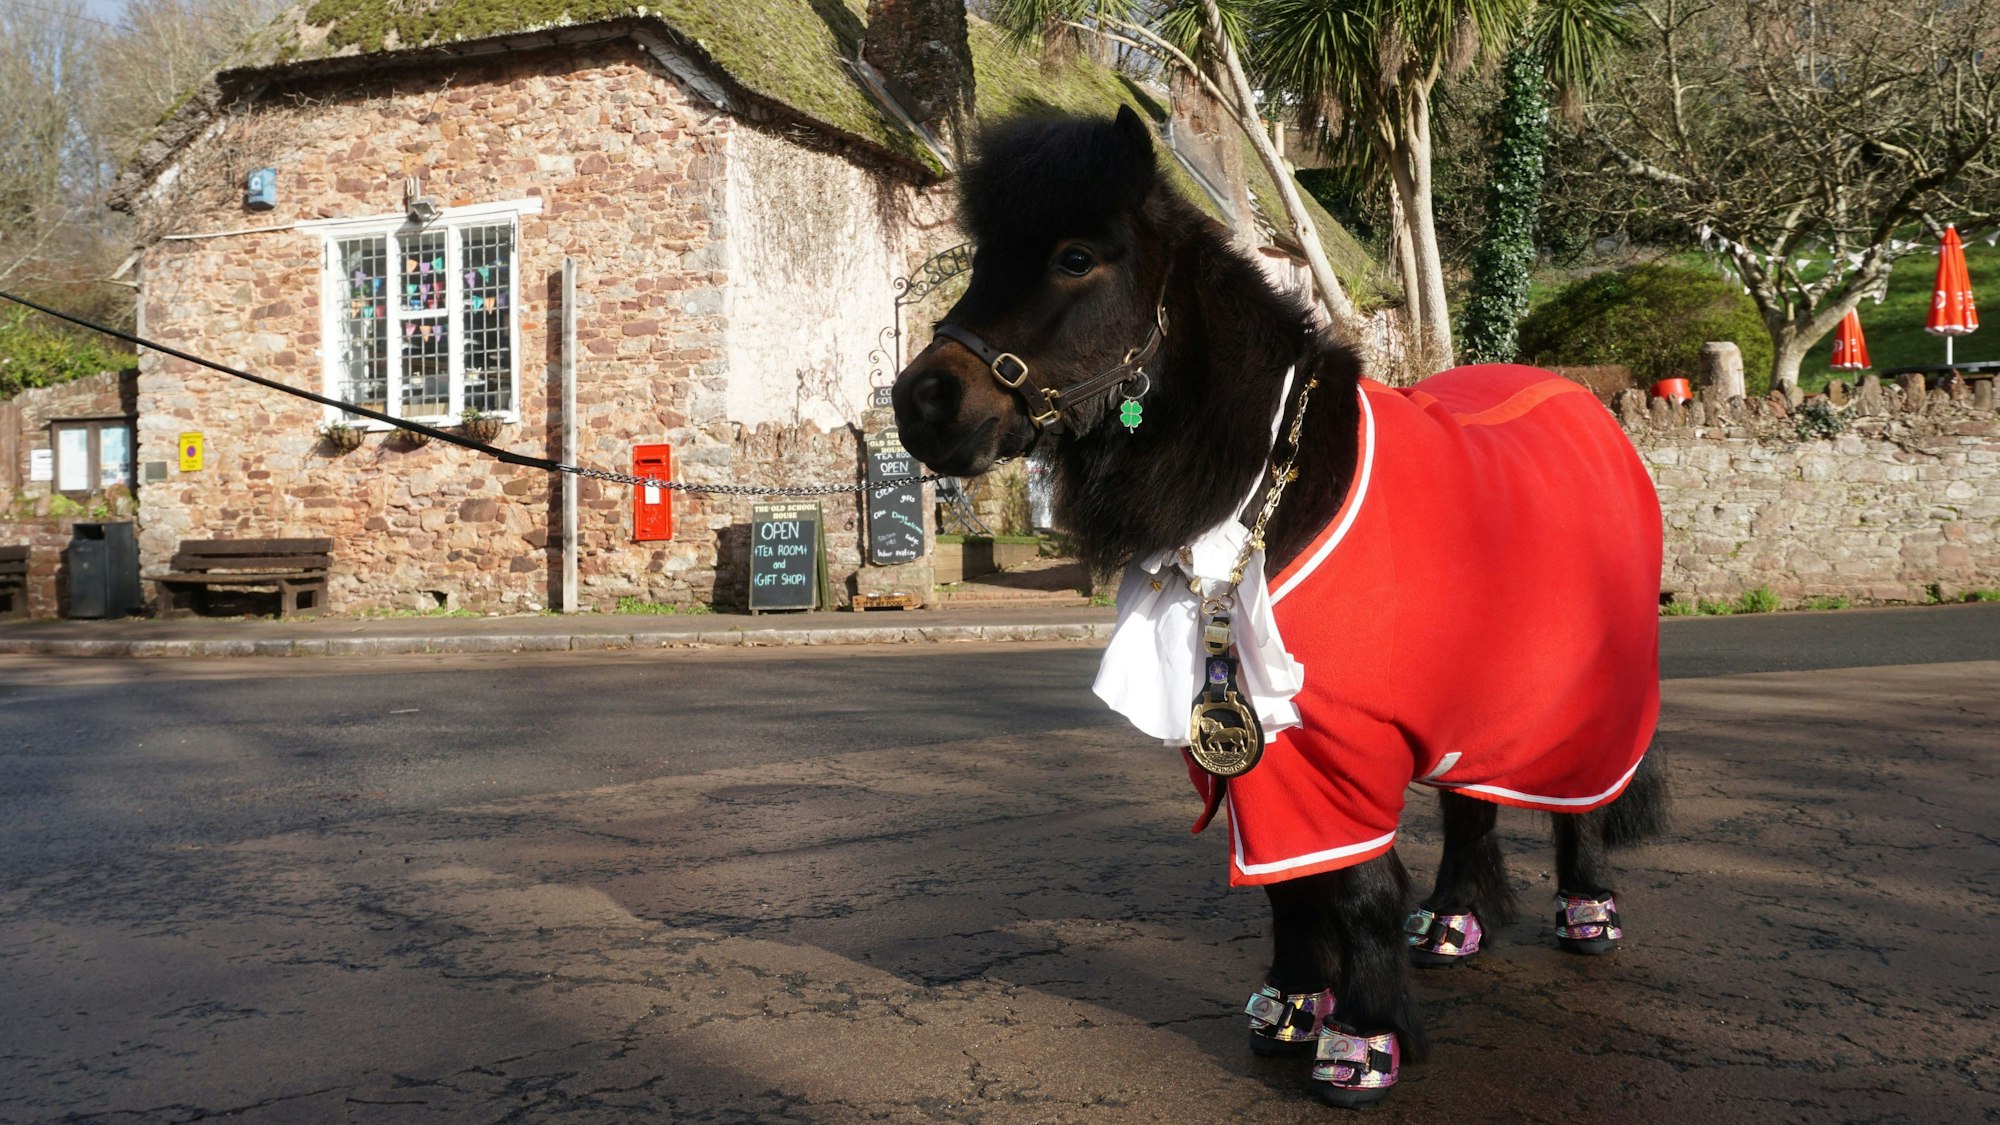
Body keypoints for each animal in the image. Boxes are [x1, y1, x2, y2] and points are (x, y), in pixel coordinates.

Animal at [890, 106, 1669, 1109]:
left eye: (1075, 256)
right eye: (984, 253)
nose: (922, 403)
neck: (1276, 495)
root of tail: (1594, 410)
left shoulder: (1339, 743)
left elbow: (1358, 886)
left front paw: (1363, 1041)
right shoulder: (1260, 736)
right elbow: (1291, 883)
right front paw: (1293, 1006)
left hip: (1580, 698)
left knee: (1582, 798)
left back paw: (1587, 911)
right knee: (1474, 800)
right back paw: (1451, 922)